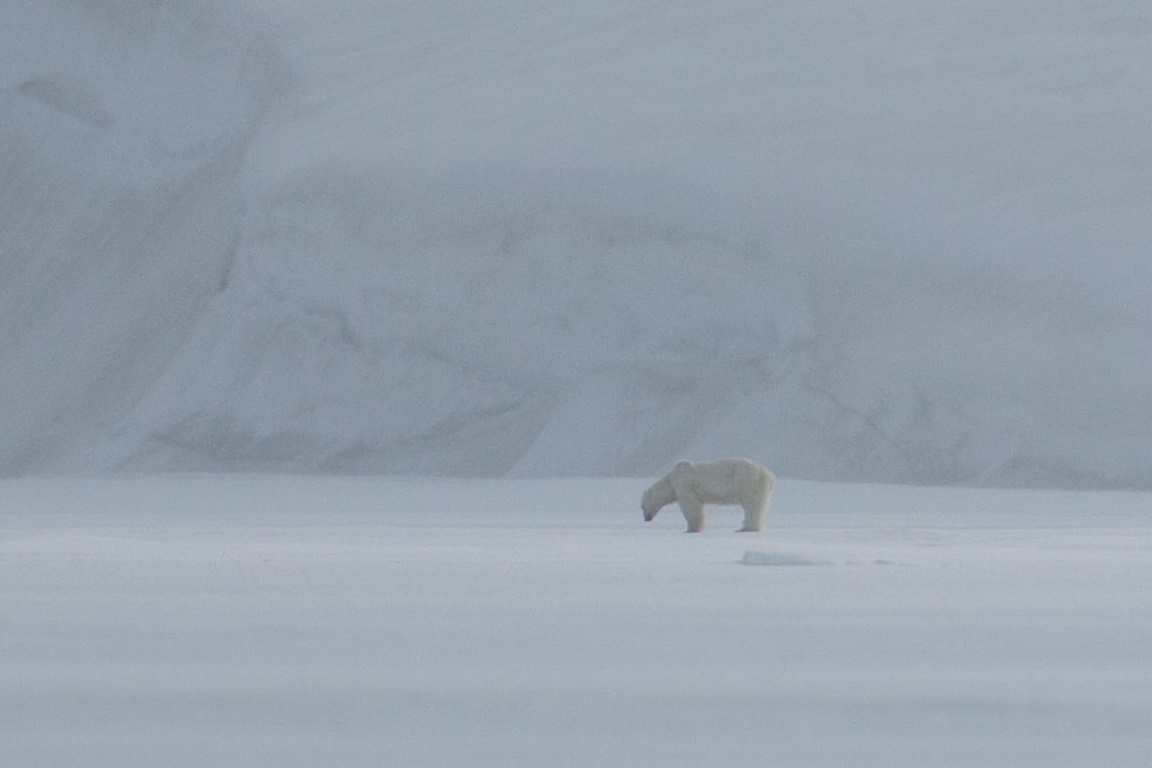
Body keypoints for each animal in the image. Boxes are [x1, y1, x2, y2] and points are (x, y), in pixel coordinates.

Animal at [640, 460, 774, 531]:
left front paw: (692, 528)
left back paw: (746, 528)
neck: (671, 479)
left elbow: (690, 506)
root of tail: (769, 474)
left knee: (752, 506)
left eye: (642, 506)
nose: (646, 519)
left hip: (749, 482)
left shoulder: (685, 486)